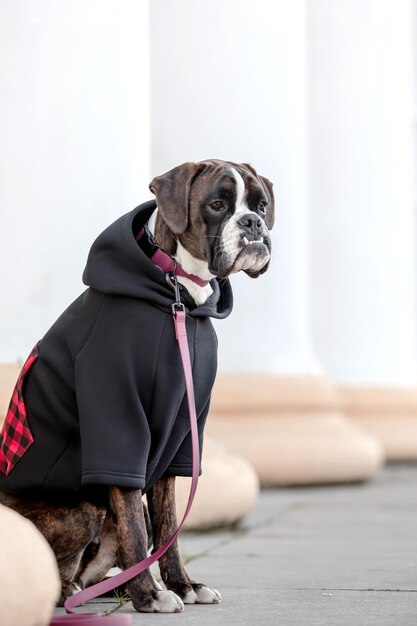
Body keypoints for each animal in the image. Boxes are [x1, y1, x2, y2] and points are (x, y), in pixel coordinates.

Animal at [0, 158, 272, 612]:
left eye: (262, 205)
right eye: (217, 205)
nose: (253, 223)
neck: (179, 296)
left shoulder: (184, 431)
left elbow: (167, 525)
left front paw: (182, 585)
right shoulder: (120, 422)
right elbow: (136, 531)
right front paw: (151, 595)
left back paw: (115, 587)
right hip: (80, 507)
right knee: (61, 569)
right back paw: (84, 592)